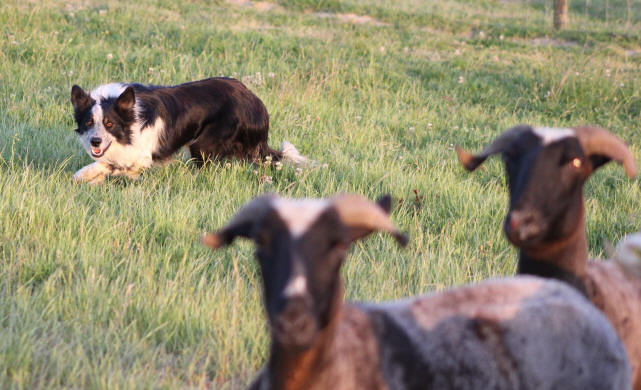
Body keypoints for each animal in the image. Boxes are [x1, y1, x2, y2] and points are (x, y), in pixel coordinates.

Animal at [70, 78, 304, 185]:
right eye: (89, 122)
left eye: (109, 124)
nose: (95, 142)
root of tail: (256, 102)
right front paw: (93, 178)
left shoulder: (141, 155)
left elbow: (113, 165)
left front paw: (88, 174)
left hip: (203, 143)